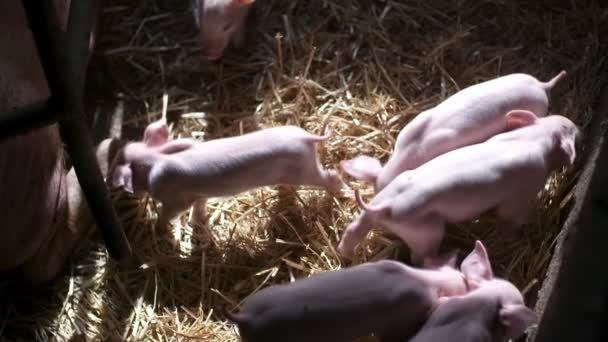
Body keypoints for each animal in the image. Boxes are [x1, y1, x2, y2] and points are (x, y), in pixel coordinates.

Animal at [110, 119, 346, 228]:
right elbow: (200, 206)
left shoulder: (176, 200)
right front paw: (197, 223)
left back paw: (341, 192)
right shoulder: (198, 194)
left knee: (331, 176)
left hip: (306, 171)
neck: (155, 159)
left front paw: (158, 227)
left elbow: (169, 213)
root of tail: (308, 137)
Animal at [338, 111, 580, 260]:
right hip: (427, 231)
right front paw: (516, 235)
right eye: (567, 128)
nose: (578, 127)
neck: (533, 139)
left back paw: (344, 253)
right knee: (419, 257)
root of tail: (386, 206)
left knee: (353, 228)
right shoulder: (523, 192)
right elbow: (510, 217)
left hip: (379, 203)